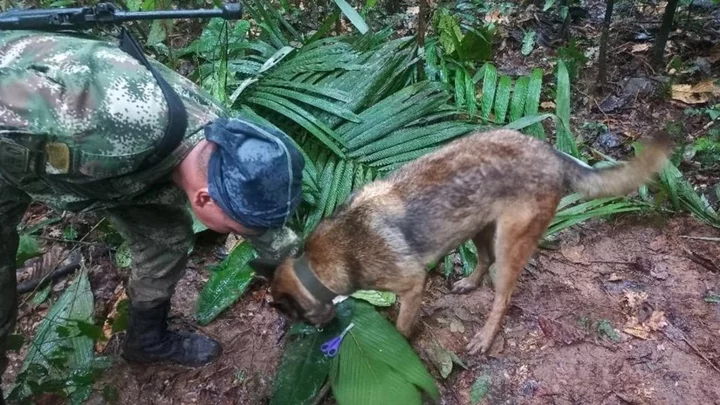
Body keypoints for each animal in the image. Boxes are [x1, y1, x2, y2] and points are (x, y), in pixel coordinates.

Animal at [250, 128, 672, 352]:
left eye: (292, 316)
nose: (319, 334)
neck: (319, 264)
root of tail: (550, 152)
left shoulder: (412, 284)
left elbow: (401, 326)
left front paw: (399, 344)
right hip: (479, 228)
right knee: (483, 261)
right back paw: (469, 283)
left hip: (509, 243)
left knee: (503, 295)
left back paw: (485, 336)